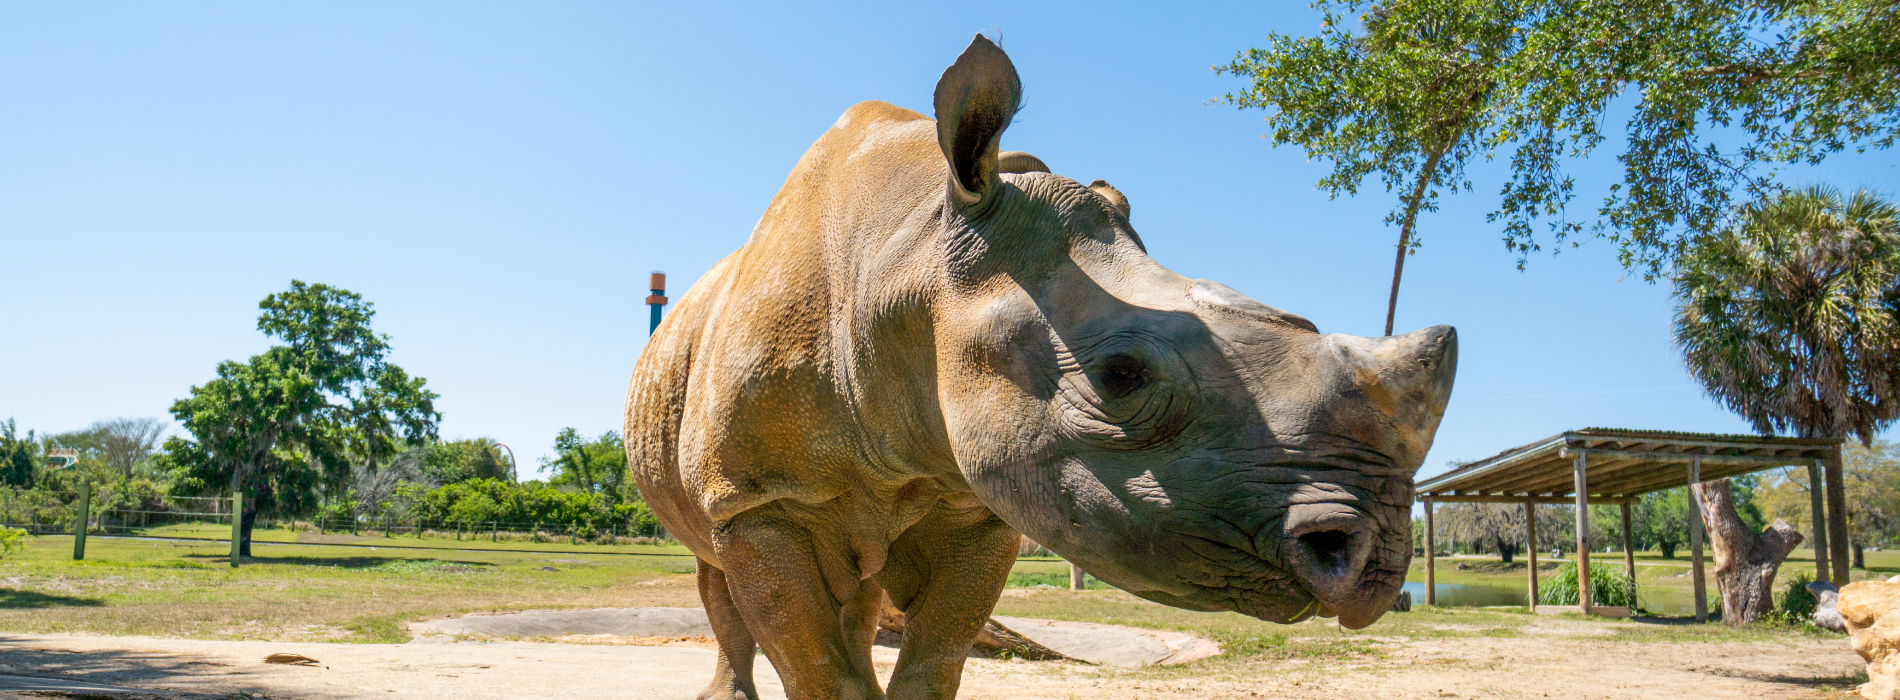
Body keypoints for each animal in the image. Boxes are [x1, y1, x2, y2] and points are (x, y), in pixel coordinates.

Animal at [630, 36, 1459, 700]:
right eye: (1119, 376)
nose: (1378, 555)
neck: (910, 260)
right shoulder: (759, 498)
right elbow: (815, 664)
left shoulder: (979, 499)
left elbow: (935, 662)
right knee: (714, 574)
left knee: (856, 600)